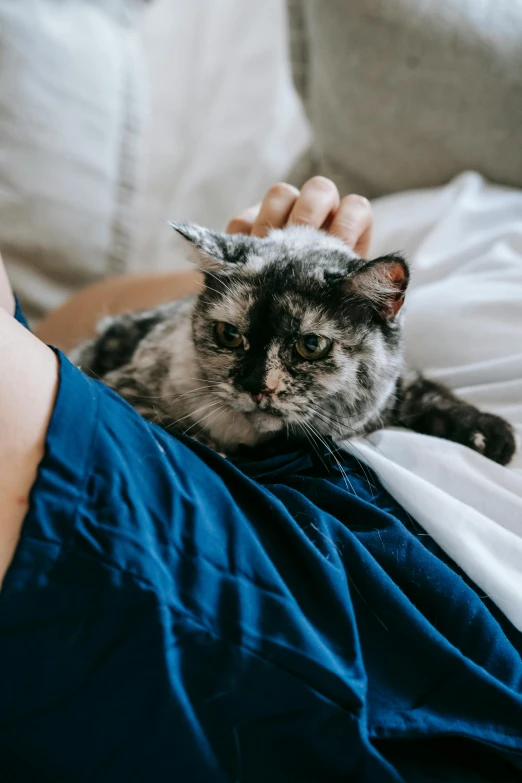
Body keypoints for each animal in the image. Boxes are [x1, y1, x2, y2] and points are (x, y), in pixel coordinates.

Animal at [71, 220, 512, 466]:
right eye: (229, 335)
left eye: (311, 346)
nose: (255, 386)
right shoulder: (128, 387)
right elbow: (174, 429)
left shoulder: (388, 395)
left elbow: (427, 393)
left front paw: (493, 437)